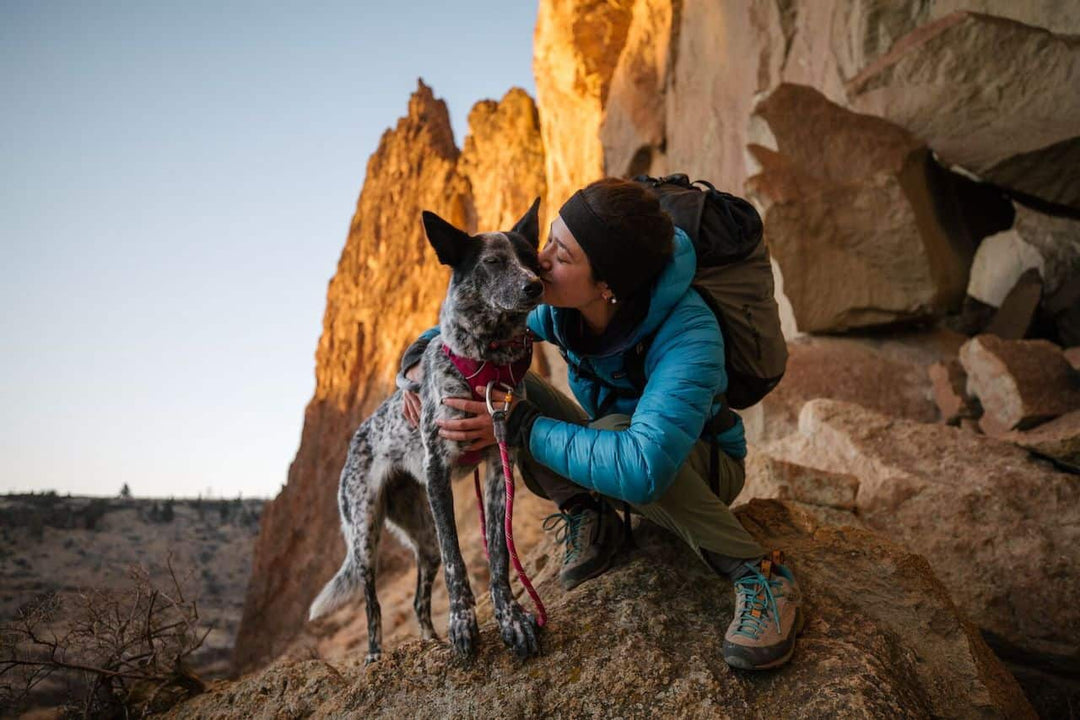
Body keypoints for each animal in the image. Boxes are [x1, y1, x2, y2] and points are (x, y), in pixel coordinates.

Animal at [311, 198, 548, 664]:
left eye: (530, 258)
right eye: (493, 262)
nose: (535, 286)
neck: (486, 361)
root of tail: (356, 438)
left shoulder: (499, 467)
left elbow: (498, 554)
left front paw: (510, 617)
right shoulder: (438, 472)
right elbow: (459, 560)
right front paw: (463, 623)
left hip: (422, 538)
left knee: (421, 600)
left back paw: (430, 641)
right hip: (365, 533)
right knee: (373, 605)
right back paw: (375, 656)